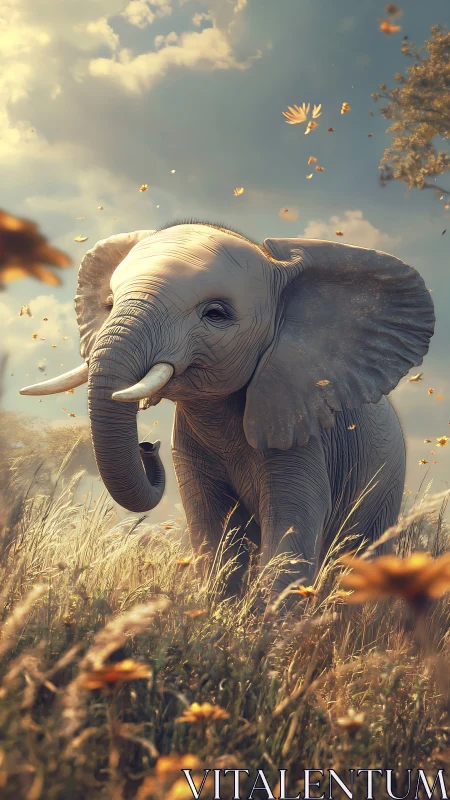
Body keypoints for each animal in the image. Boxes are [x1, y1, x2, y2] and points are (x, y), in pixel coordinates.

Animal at [20, 221, 435, 591]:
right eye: (108, 305)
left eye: (216, 314)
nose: (148, 446)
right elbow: (212, 532)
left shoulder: (301, 430)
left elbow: (290, 530)